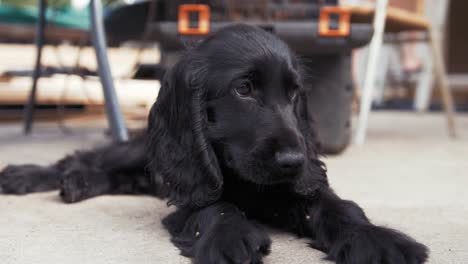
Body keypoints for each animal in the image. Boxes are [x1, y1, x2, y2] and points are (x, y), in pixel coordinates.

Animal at [0, 24, 428, 264]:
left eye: (294, 93)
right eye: (243, 89)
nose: (294, 159)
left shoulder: (301, 186)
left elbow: (337, 206)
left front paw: (377, 239)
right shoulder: (192, 187)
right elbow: (215, 206)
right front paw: (231, 238)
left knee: (117, 176)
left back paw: (78, 182)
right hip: (143, 151)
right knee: (88, 157)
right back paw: (30, 175)